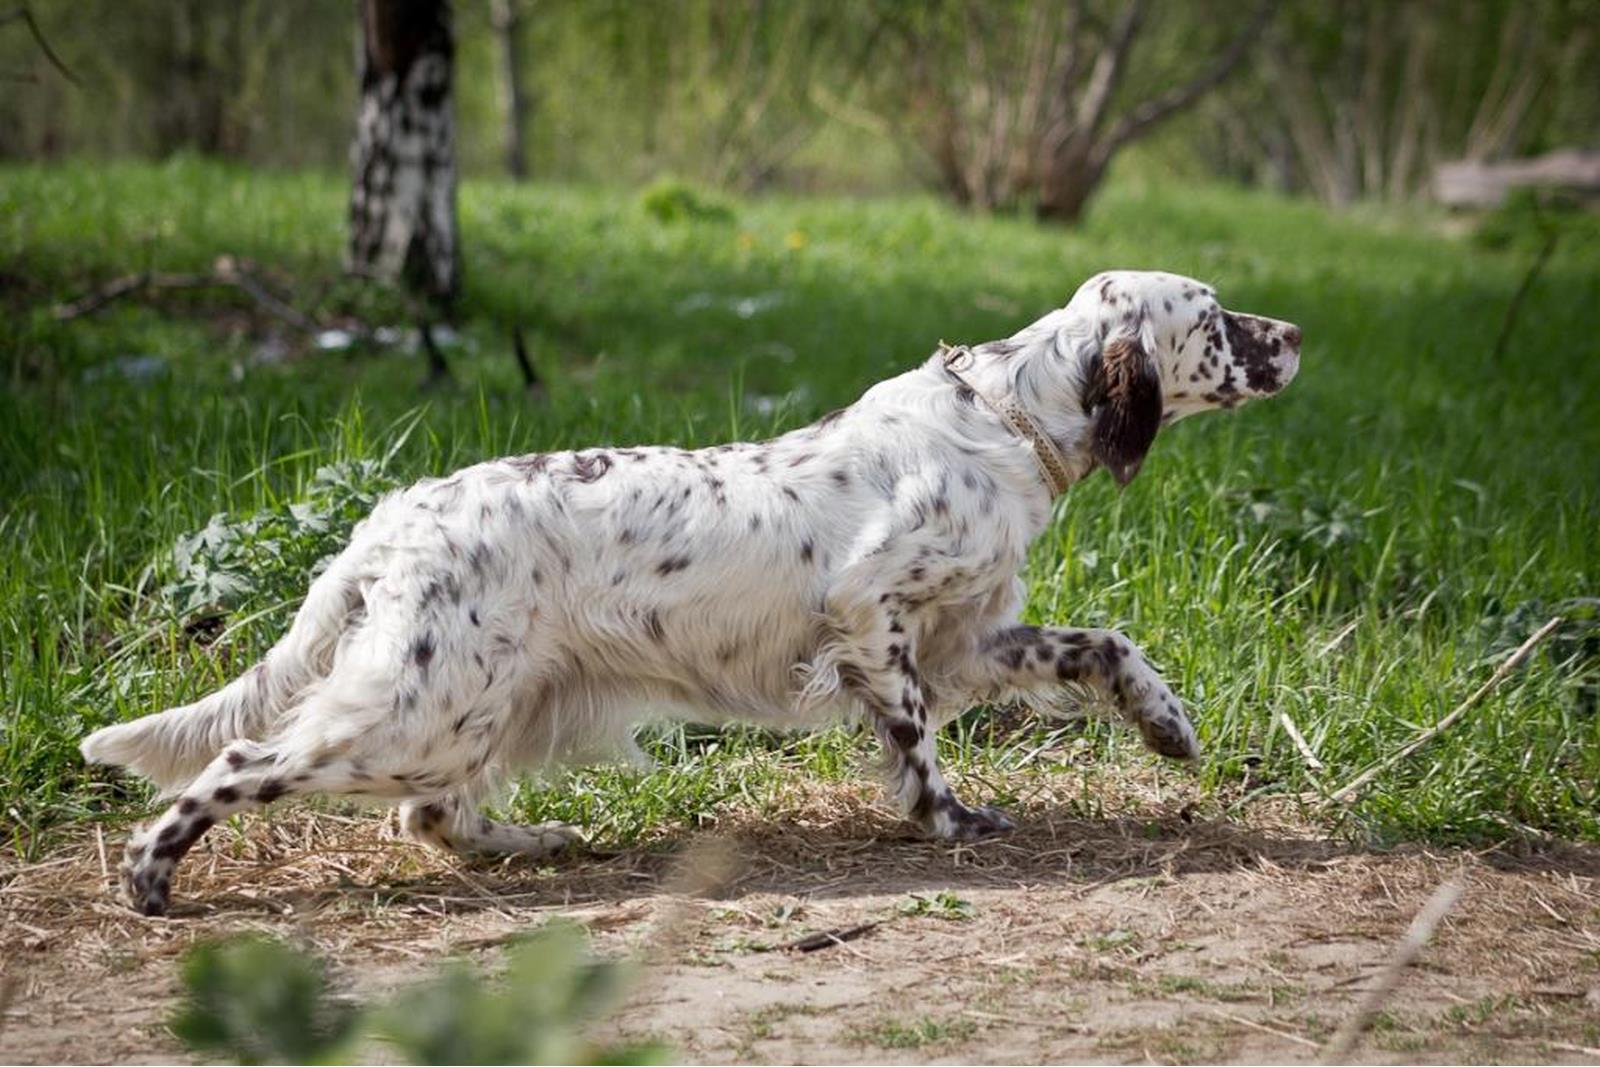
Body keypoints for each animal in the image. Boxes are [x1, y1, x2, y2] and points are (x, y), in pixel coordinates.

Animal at [82, 269, 1301, 914]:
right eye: (1216, 319)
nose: (1294, 332)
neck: (1007, 419)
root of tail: (395, 515)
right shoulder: (873, 615)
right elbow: (917, 743)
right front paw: (949, 818)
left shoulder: (966, 634)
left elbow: (1104, 643)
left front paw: (1168, 725)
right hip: (418, 707)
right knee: (247, 760)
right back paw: (150, 873)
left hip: (473, 709)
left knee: (429, 811)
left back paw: (536, 842)